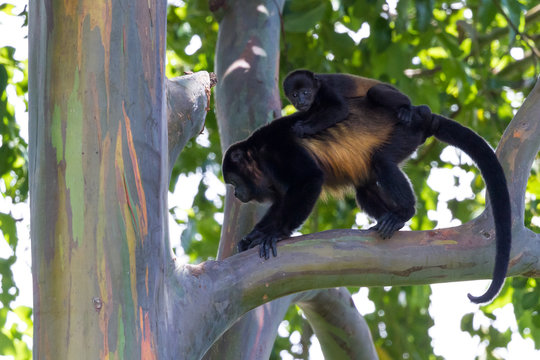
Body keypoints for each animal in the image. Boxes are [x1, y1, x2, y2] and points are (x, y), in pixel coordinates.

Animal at [282, 69, 414, 137]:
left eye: (306, 92)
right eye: (294, 95)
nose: (301, 101)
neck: (316, 90)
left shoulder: (326, 87)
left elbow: (339, 109)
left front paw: (304, 127)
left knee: (375, 91)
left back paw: (406, 107)